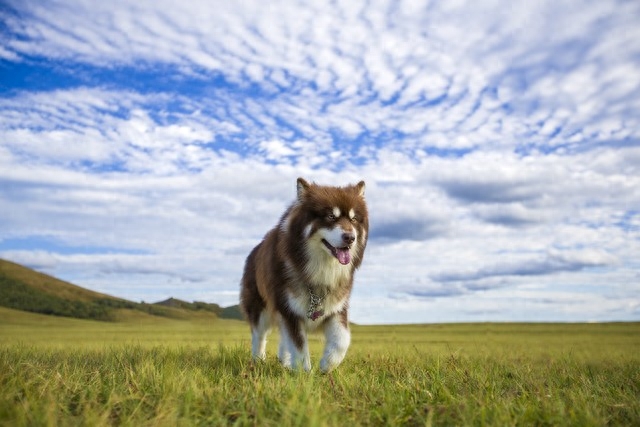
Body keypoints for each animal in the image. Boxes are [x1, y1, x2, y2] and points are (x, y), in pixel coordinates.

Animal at [240, 177, 370, 372]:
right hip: (259, 306)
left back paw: (285, 363)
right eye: (331, 217)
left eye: (354, 219)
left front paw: (327, 365)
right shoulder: (289, 309)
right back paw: (258, 361)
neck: (320, 270)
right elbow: (299, 346)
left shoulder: (335, 307)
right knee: (259, 336)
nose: (350, 238)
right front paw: (304, 373)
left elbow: (342, 340)